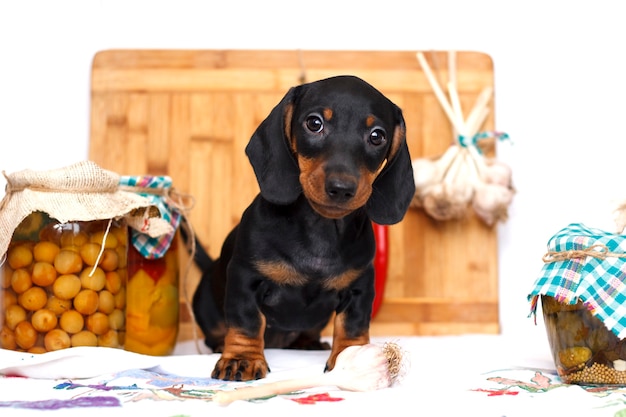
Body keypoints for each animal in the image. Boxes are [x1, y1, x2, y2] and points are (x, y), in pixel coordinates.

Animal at [190, 75, 414, 380]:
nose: (341, 188)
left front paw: (352, 356)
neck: (320, 229)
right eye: (314, 123)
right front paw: (241, 359)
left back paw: (308, 342)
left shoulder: (360, 286)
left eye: (377, 136)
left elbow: (353, 324)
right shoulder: (245, 278)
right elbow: (246, 321)